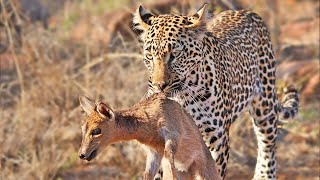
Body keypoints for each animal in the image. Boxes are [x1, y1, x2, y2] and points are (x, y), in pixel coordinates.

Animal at [131, 3, 298, 179]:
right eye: (149, 56)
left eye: (175, 54)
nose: (159, 85)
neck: (182, 97)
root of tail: (246, 11)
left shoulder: (216, 139)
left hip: (265, 105)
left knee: (267, 144)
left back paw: (264, 174)